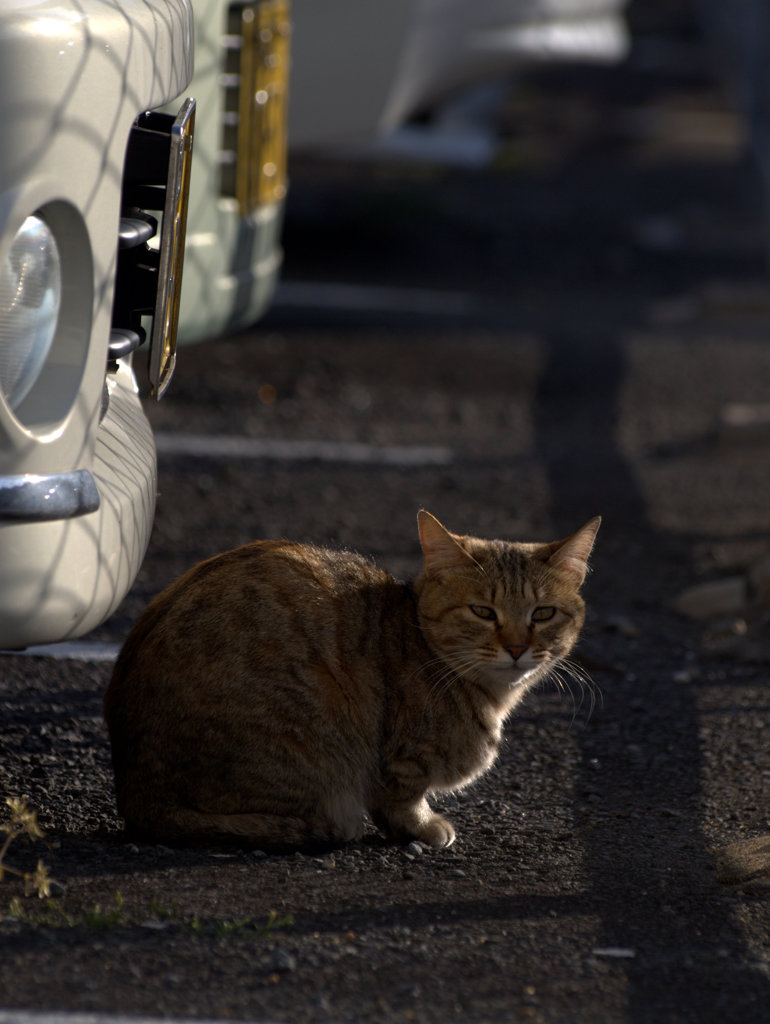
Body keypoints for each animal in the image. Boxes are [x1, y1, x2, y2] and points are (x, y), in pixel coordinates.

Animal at [103, 507, 602, 851]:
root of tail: (137, 794)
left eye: (543, 614)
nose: (517, 648)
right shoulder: (402, 759)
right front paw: (423, 826)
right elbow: (400, 797)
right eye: (483, 611)